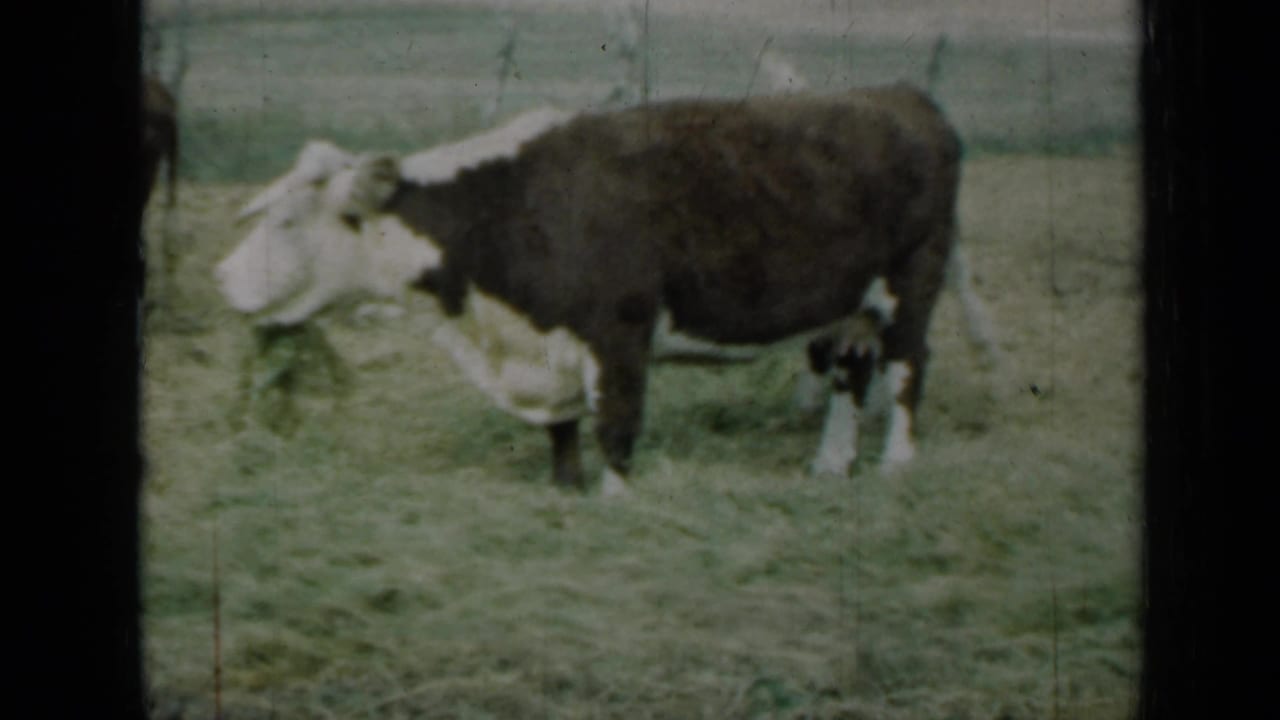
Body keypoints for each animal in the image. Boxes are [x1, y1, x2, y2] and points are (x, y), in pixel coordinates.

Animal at [217, 83, 990, 497]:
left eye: (287, 221)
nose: (222, 277)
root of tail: (900, 95)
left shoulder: (618, 334)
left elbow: (616, 426)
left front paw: (615, 499)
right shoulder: (545, 345)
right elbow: (562, 430)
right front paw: (564, 491)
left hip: (913, 284)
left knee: (907, 368)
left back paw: (897, 463)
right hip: (848, 308)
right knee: (850, 376)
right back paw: (830, 465)